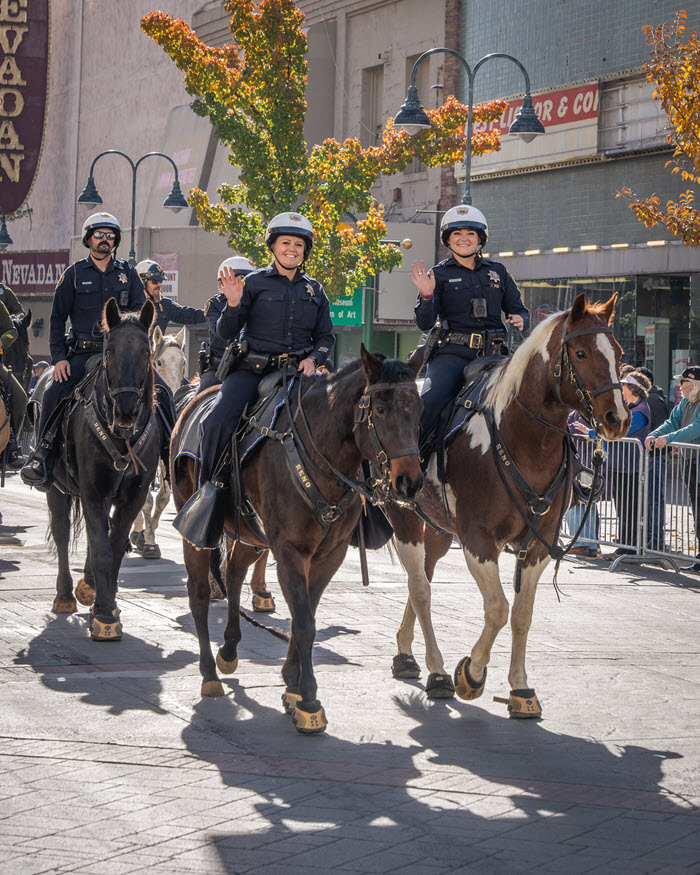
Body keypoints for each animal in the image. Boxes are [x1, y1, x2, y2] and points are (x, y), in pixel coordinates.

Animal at [47, 298, 160, 640]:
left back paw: (89, 586)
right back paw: (65, 595)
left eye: (146, 352)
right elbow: (101, 548)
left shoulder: (133, 496)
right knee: (61, 532)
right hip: (56, 488)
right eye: (109, 351)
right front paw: (105, 615)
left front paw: (105, 602)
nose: (126, 411)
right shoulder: (93, 491)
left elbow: (113, 546)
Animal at [171, 346, 422, 736]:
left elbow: (307, 615)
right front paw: (309, 701)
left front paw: (291, 684)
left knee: (233, 573)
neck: (322, 454)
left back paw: (228, 651)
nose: (410, 482)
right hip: (197, 531)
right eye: (380, 409)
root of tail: (195, 396)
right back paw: (209, 674)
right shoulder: (290, 550)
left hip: (251, 535)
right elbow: (303, 622)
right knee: (198, 592)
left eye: (420, 410)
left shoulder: (328, 555)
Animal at [386, 294, 632, 720]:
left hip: (438, 529)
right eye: (581, 352)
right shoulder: (478, 541)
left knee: (424, 581)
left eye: (617, 353)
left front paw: (520, 688)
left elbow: (521, 614)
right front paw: (471, 674)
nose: (617, 418)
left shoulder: (539, 545)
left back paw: (406, 652)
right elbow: (498, 608)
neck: (524, 439)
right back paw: (437, 672)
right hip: (403, 517)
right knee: (420, 590)